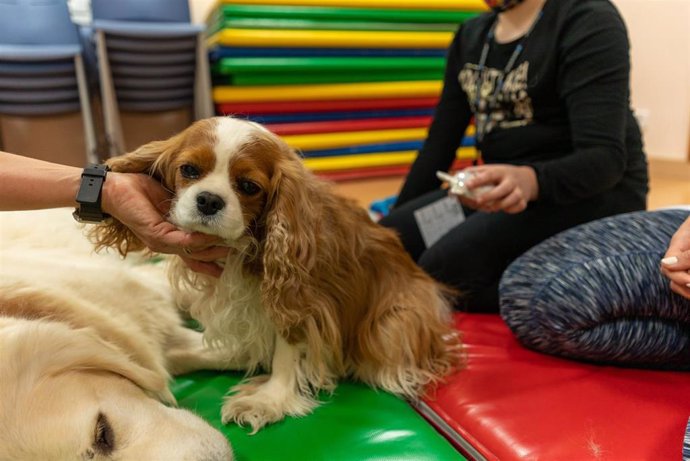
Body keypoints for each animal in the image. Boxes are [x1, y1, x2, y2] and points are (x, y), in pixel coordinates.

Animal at [88, 115, 460, 432]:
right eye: (189, 170)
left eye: (248, 186)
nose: (208, 200)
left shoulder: (298, 297)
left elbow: (286, 348)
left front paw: (268, 400)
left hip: (392, 323)